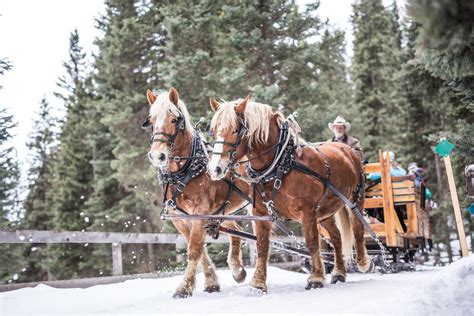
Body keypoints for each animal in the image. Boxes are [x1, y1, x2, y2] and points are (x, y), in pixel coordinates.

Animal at [143, 89, 248, 298]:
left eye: (174, 119)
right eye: (151, 121)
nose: (157, 155)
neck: (184, 171)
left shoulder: (200, 213)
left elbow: (194, 250)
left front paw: (184, 288)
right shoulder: (179, 217)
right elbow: (199, 250)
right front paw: (211, 282)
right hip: (221, 211)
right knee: (236, 231)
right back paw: (237, 270)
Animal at [208, 97, 374, 292]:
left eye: (235, 129)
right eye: (213, 130)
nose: (215, 168)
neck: (280, 163)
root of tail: (346, 149)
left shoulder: (307, 211)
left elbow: (312, 242)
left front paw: (316, 278)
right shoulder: (261, 213)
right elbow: (262, 245)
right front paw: (258, 283)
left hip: (355, 199)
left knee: (358, 228)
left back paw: (363, 262)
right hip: (325, 211)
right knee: (336, 237)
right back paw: (339, 272)